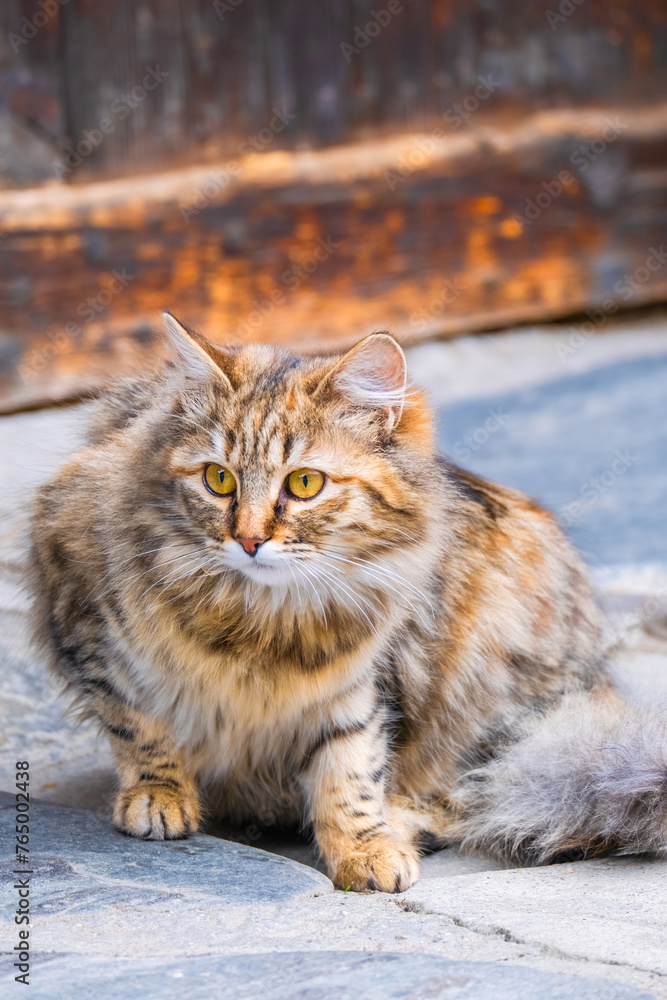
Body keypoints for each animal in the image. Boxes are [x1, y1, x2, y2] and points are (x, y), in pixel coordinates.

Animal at [27, 312, 667, 892]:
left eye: (305, 484)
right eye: (219, 479)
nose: (249, 540)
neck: (255, 622)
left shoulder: (360, 681)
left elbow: (350, 770)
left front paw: (365, 847)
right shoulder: (93, 629)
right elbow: (142, 727)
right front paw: (159, 795)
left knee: (485, 792)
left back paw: (405, 820)